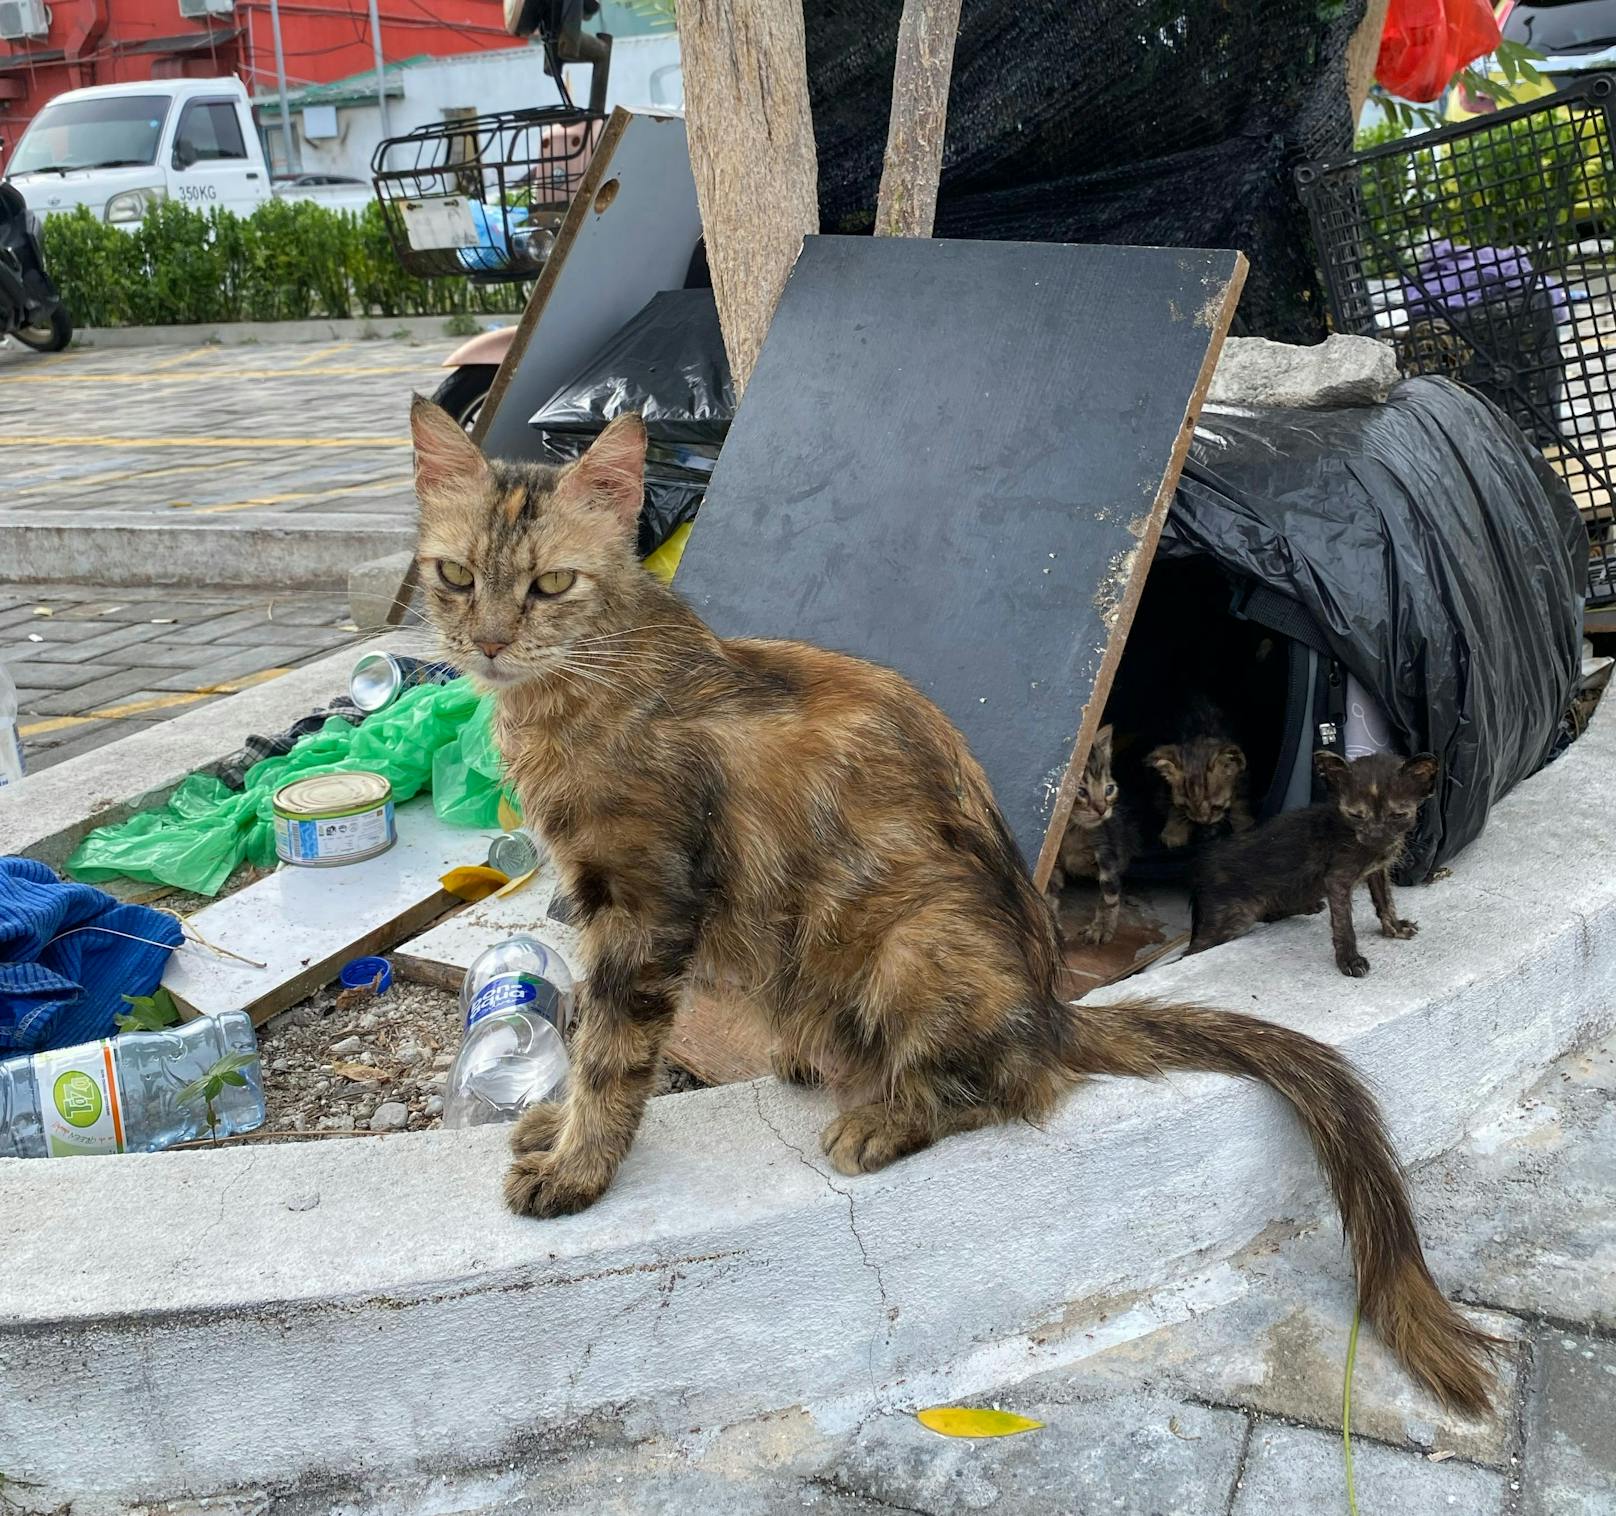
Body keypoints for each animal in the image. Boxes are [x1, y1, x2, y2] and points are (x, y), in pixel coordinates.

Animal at [1144, 691, 1254, 846]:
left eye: (1216, 806)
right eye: (1185, 806)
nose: (1203, 822)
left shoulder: (1242, 777)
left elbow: (1240, 801)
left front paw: (1243, 824)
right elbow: (1173, 808)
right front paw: (1174, 832)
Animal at [1189, 746, 1441, 982]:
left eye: (1398, 815)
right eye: (1356, 815)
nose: (1376, 836)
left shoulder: (1378, 870)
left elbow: (1386, 900)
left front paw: (1395, 928)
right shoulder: (1337, 879)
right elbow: (1344, 923)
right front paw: (1349, 960)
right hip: (1231, 917)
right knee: (1194, 950)